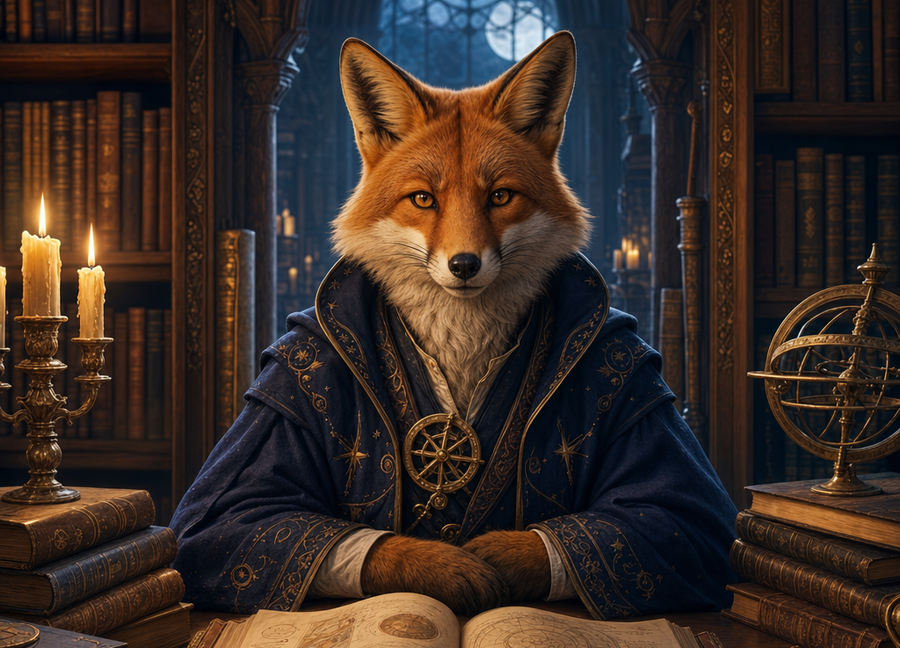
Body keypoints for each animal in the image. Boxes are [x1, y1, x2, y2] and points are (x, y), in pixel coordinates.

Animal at [333, 32, 588, 614]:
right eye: (424, 199)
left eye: (500, 196)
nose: (464, 265)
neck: (464, 352)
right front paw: (449, 567)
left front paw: (497, 556)